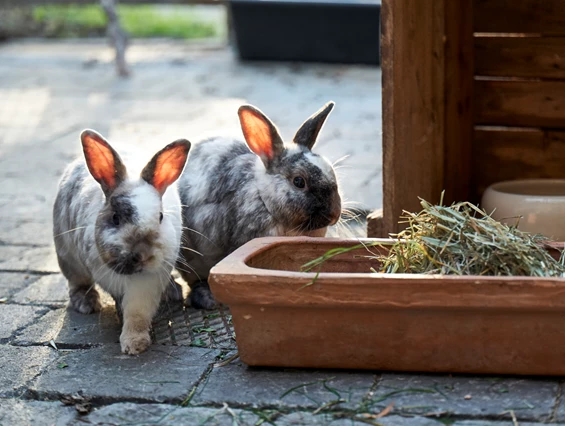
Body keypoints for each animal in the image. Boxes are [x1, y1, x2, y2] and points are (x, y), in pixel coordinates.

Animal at [53, 131, 189, 356]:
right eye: (115, 218)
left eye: (160, 217)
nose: (143, 254)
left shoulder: (149, 282)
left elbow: (137, 314)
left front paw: (135, 344)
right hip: (66, 256)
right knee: (77, 282)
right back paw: (87, 304)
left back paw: (172, 292)